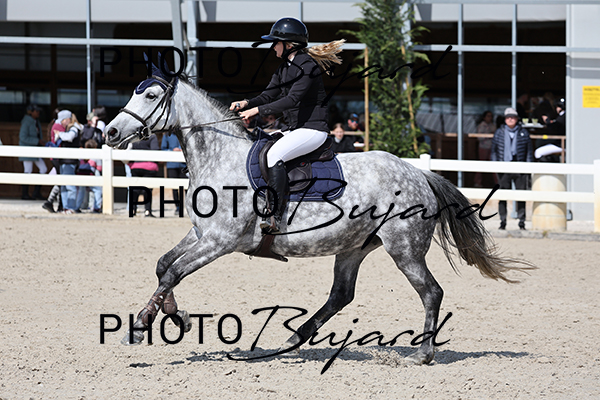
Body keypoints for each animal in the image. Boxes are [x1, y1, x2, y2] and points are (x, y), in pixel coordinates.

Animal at [104, 60, 534, 365]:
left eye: (150, 96)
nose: (109, 133)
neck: (220, 157)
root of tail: (419, 173)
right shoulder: (200, 235)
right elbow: (164, 266)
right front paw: (176, 316)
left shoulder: (219, 242)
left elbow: (173, 272)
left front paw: (140, 327)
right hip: (354, 247)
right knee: (341, 295)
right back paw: (291, 340)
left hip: (404, 249)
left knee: (431, 292)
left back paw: (423, 354)